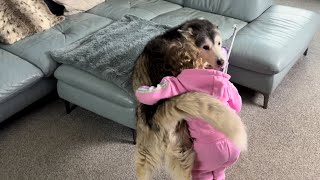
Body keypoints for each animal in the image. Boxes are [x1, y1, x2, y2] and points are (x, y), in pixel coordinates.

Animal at [131, 17, 246, 179]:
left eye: (218, 43)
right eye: (205, 47)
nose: (221, 61)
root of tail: (155, 113)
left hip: (150, 152)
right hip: (182, 149)